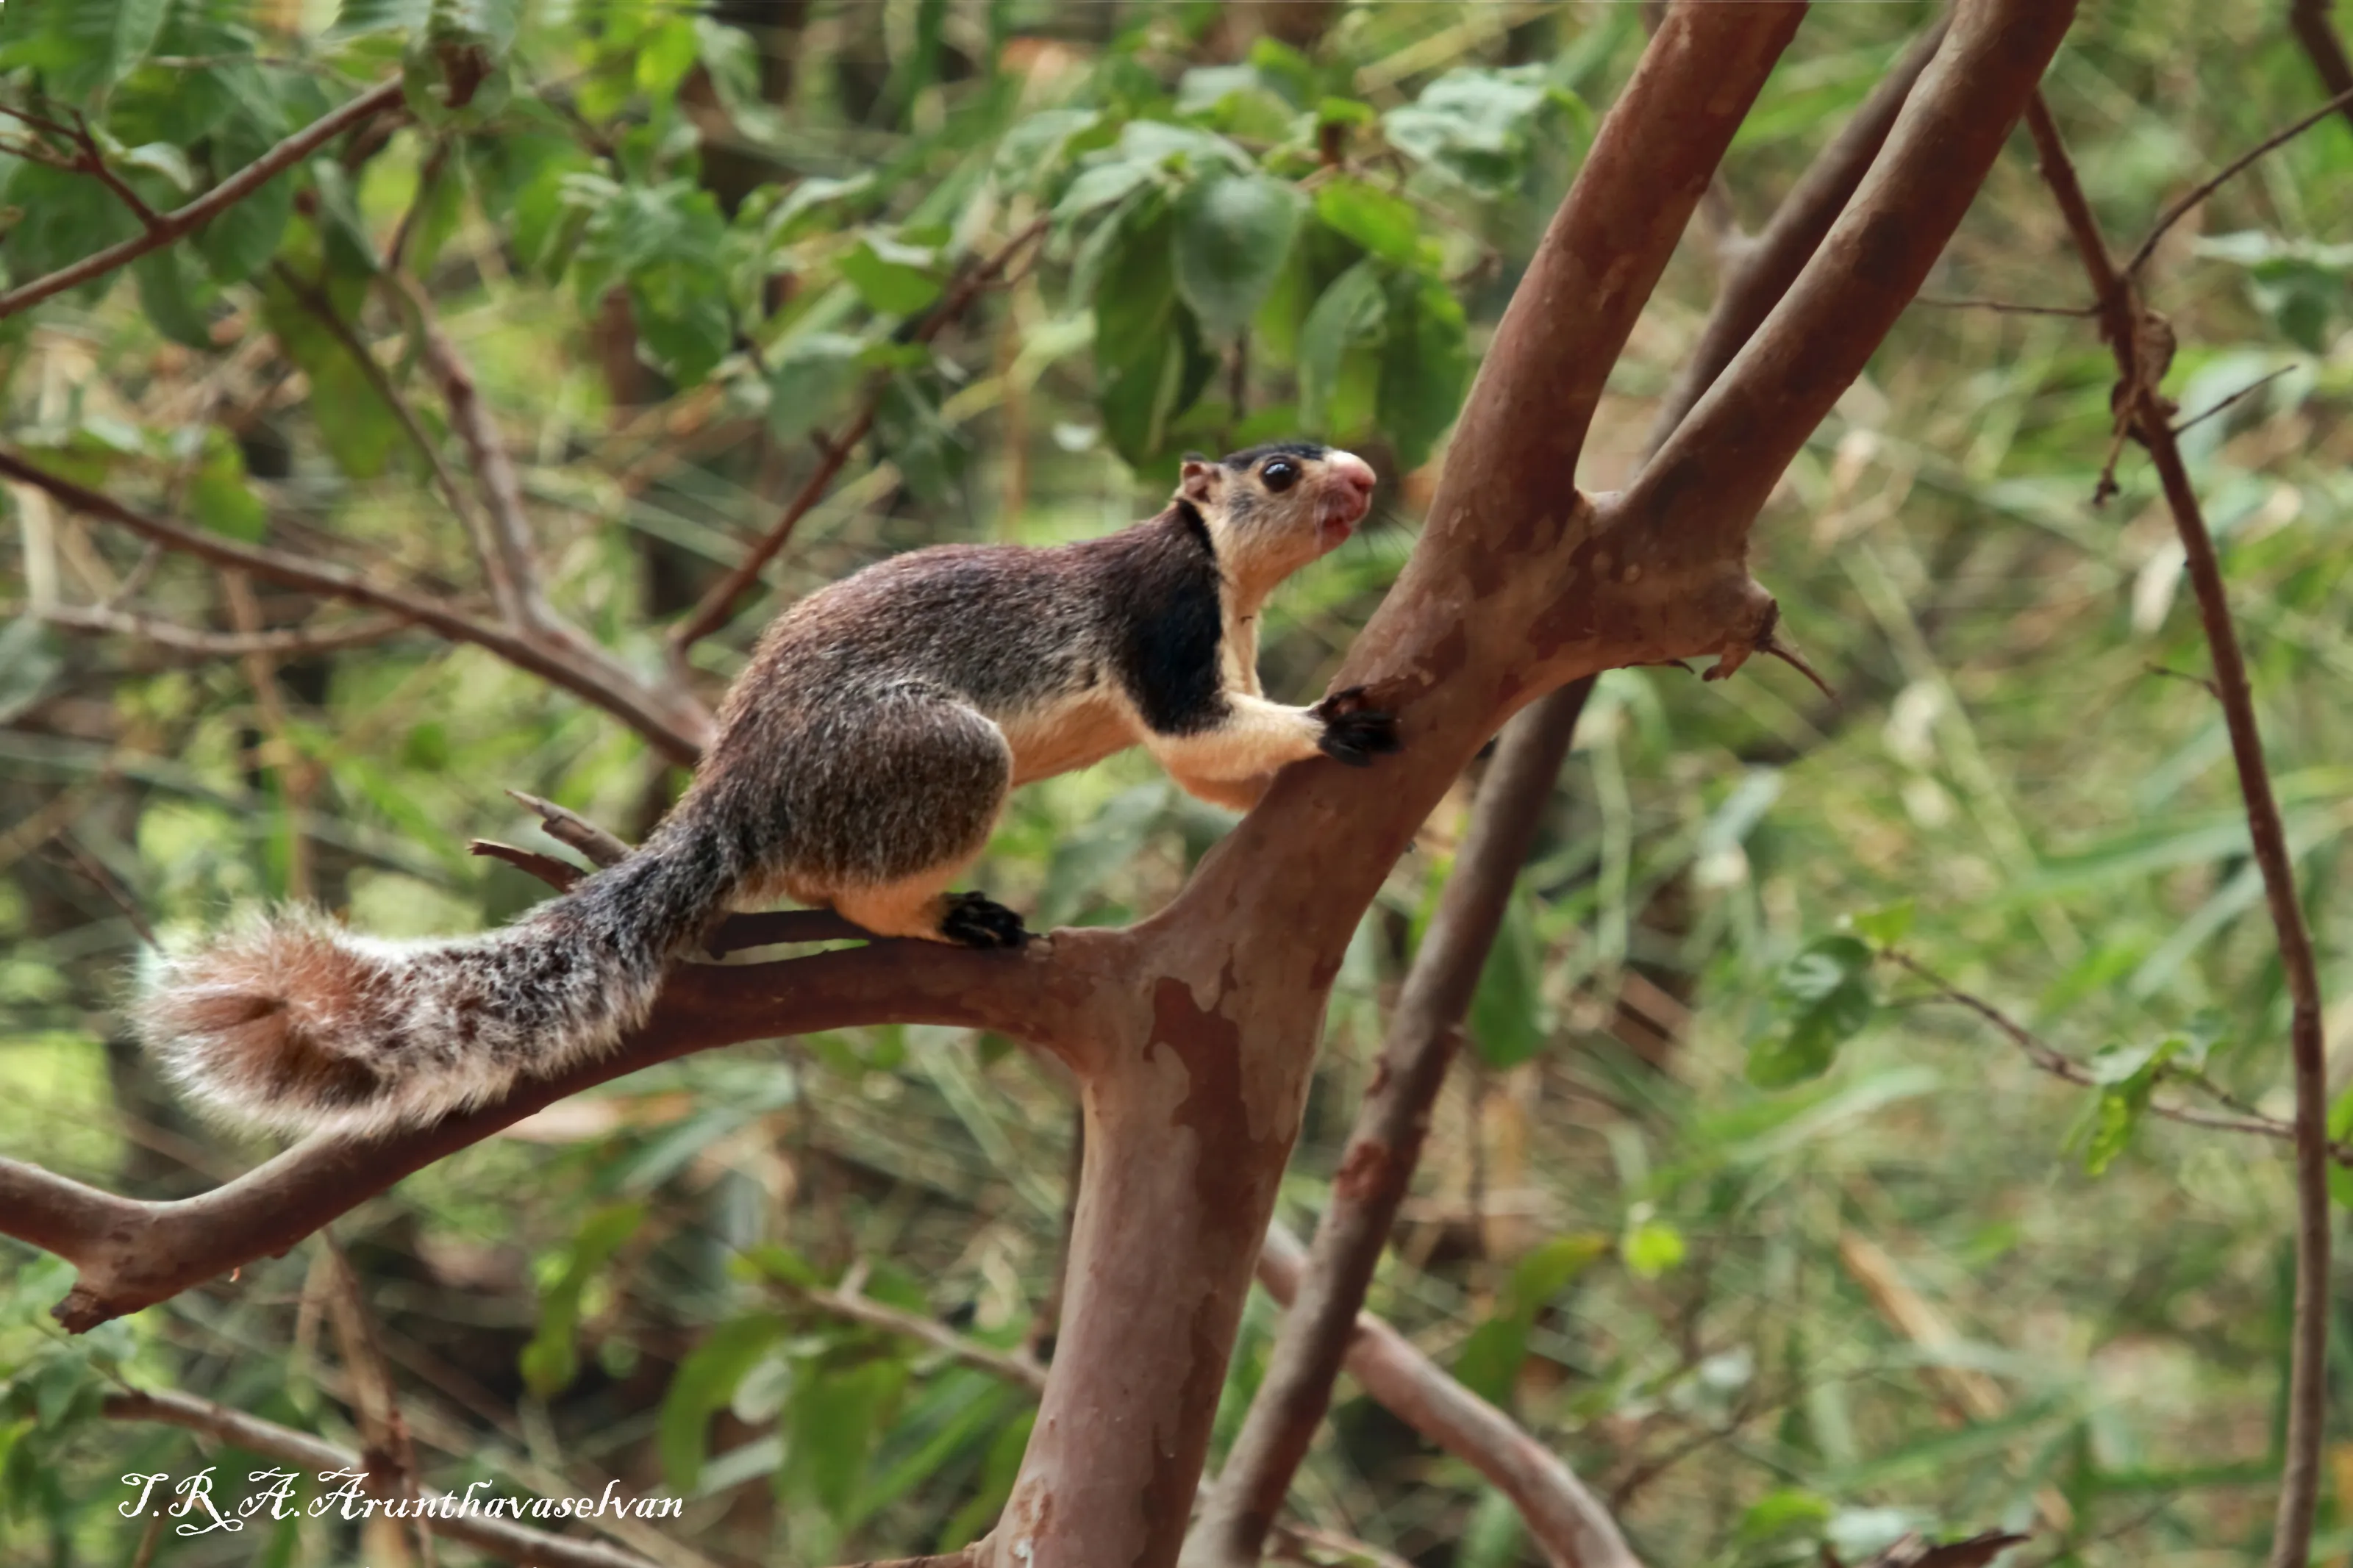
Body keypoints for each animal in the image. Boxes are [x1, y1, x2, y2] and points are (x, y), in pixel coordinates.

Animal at [137, 442, 1402, 1137]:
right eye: (1279, 470)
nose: (1367, 475)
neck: (1229, 577)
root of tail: (736, 800)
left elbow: (1206, 766)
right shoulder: (1165, 621)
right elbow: (1197, 734)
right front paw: (1330, 724)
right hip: (935, 755)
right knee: (859, 890)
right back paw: (947, 914)